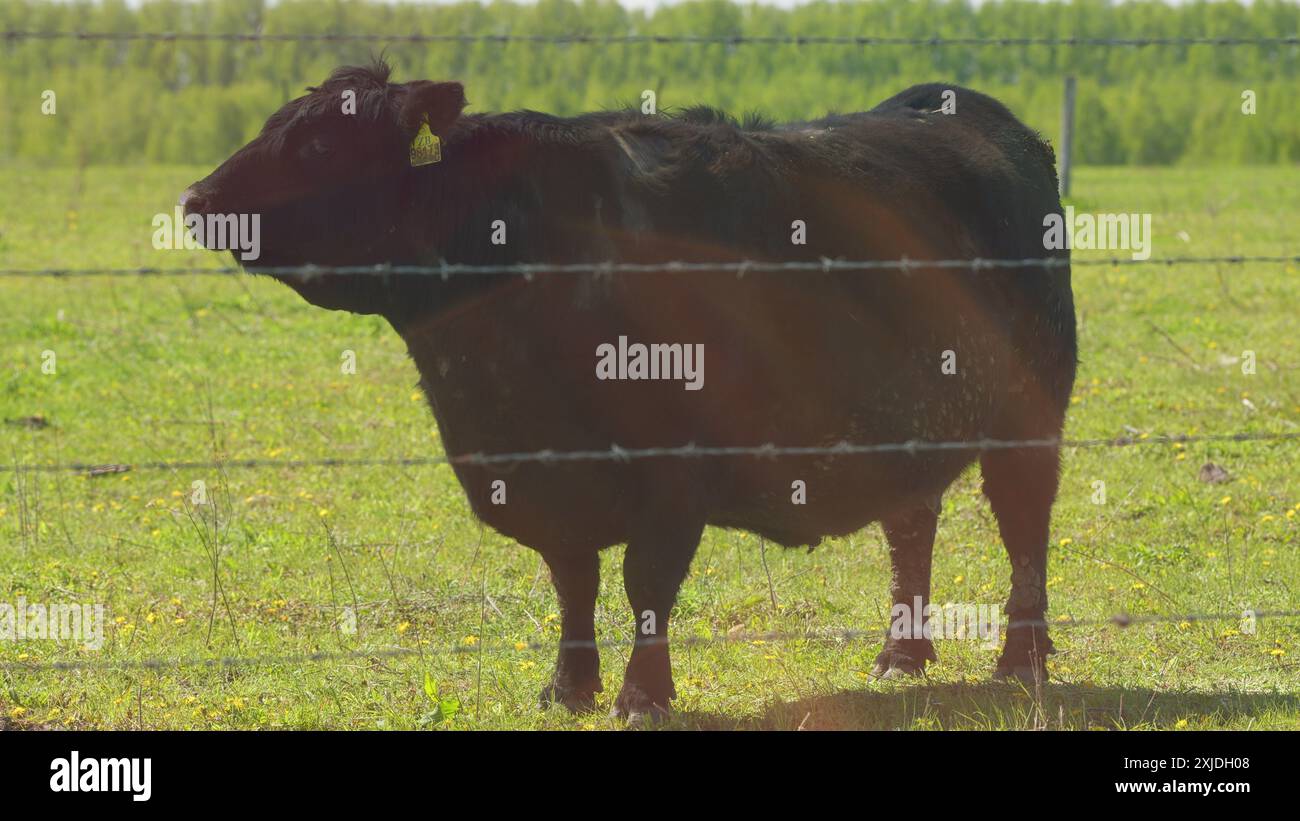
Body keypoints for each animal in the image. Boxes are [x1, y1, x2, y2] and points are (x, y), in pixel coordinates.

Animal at [180, 61, 1076, 722]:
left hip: (1030, 416)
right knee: (910, 525)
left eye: (320, 143)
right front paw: (567, 687)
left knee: (1024, 528)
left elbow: (646, 583)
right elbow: (573, 579)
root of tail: (949, 102)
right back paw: (901, 653)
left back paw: (1020, 658)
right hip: (906, 418)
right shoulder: (546, 474)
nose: (196, 200)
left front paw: (643, 695)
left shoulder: (672, 472)